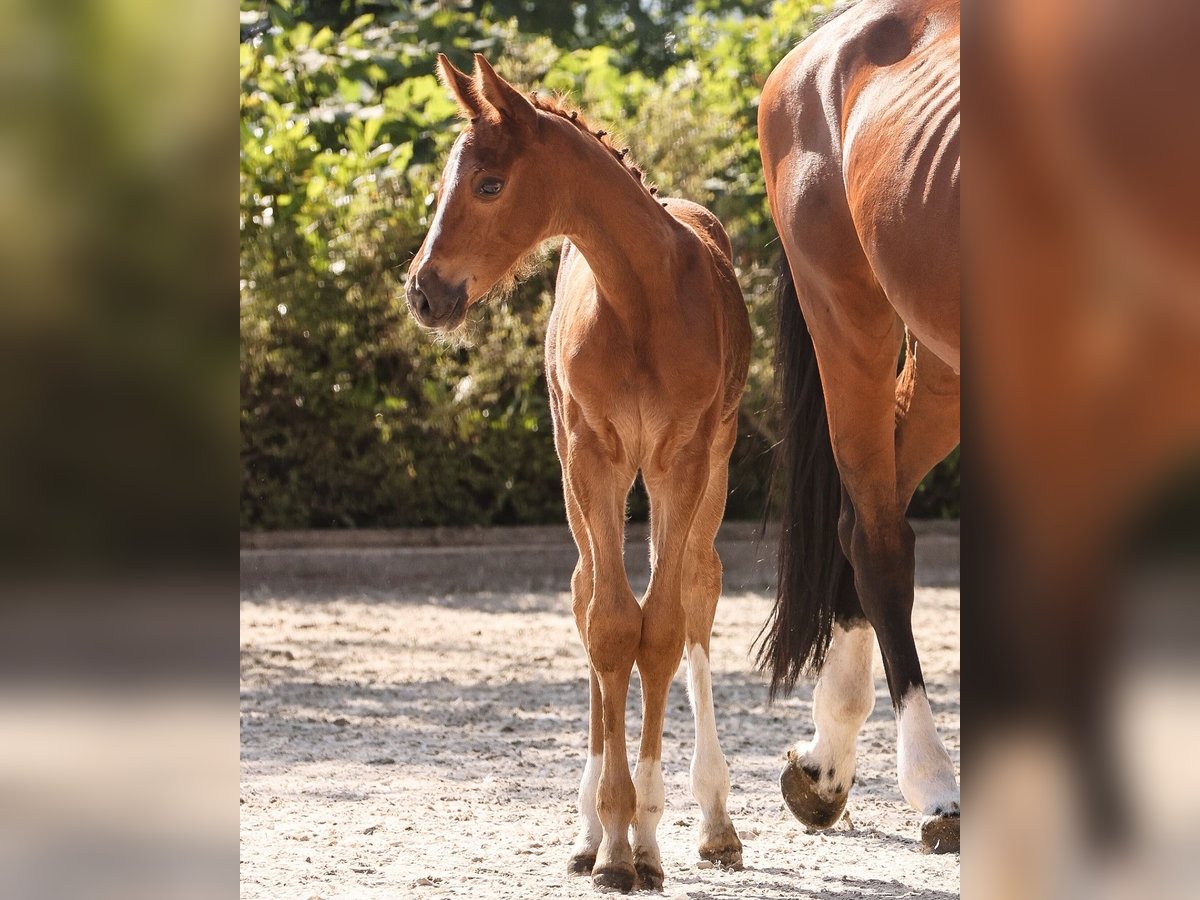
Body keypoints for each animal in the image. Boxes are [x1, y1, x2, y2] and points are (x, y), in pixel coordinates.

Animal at [408, 56, 753, 897]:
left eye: (489, 183)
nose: (424, 293)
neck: (641, 301)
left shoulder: (681, 463)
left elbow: (660, 629)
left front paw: (651, 839)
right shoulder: (592, 459)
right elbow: (609, 626)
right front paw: (614, 840)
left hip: (711, 473)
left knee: (697, 589)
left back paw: (713, 821)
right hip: (579, 477)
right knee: (586, 595)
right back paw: (591, 827)